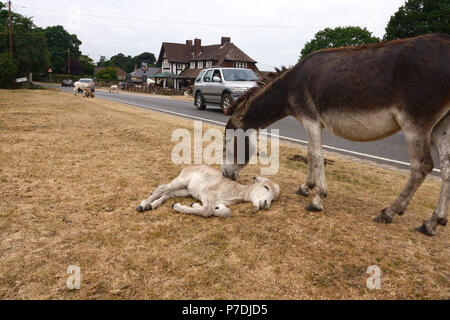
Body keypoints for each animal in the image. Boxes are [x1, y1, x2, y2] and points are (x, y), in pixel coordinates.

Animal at [135, 165, 280, 218]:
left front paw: (194, 204)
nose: (265, 203)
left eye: (273, 198)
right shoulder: (206, 192)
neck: (235, 191)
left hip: (186, 190)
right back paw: (142, 205)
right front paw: (177, 207)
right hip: (182, 180)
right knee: (162, 187)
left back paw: (151, 205)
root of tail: (188, 166)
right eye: (266, 187)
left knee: (168, 194)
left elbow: (226, 212)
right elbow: (207, 211)